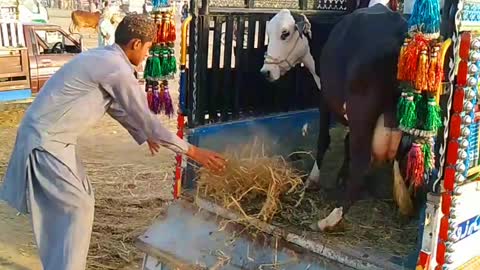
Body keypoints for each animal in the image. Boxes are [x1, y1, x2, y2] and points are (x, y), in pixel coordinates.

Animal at [260, 3, 410, 230]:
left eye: (285, 33)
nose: (266, 71)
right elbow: (346, 142)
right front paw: (341, 176)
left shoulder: (324, 97)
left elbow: (324, 139)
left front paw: (313, 180)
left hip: (361, 111)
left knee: (361, 161)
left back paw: (330, 218)